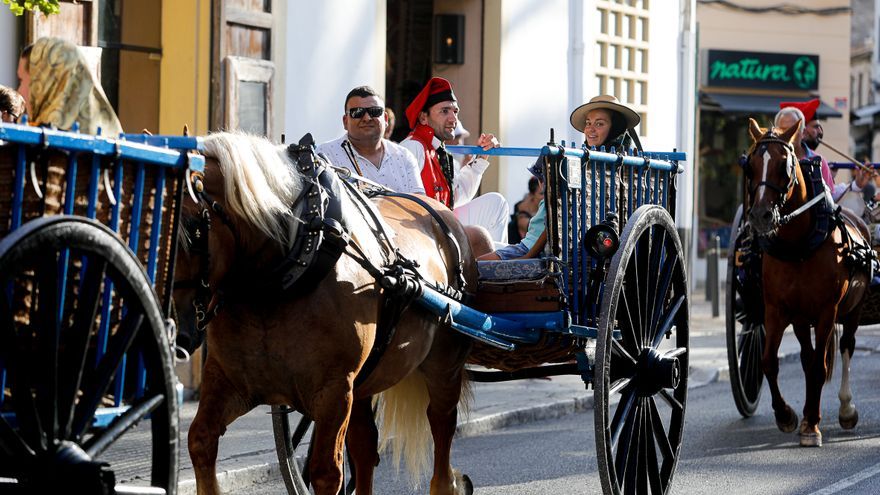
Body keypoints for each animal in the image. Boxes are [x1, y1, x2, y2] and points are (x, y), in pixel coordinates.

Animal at [175, 133, 478, 495]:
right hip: (366, 380)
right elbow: (200, 440)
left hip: (443, 364)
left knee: (441, 423)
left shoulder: (333, 390)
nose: (176, 330)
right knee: (365, 447)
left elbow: (326, 472)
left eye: (193, 230)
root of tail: (443, 213)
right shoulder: (228, 380)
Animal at [744, 118, 872, 448]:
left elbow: (819, 367)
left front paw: (812, 425)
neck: (799, 244)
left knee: (847, 347)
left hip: (853, 309)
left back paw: (845, 409)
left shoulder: (828, 310)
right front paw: (787, 415)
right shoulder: (776, 310)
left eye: (784, 165)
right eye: (750, 165)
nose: (761, 216)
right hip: (802, 318)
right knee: (806, 355)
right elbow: (769, 362)